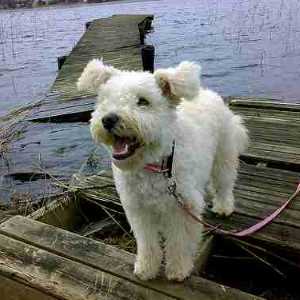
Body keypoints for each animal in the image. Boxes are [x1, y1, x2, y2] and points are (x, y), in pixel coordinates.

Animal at [77, 60, 248, 282]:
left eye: (143, 101)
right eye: (105, 99)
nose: (108, 119)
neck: (155, 164)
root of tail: (209, 93)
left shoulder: (182, 208)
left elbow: (179, 243)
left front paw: (178, 270)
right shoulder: (139, 210)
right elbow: (147, 244)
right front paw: (146, 268)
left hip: (223, 155)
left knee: (224, 183)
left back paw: (224, 207)